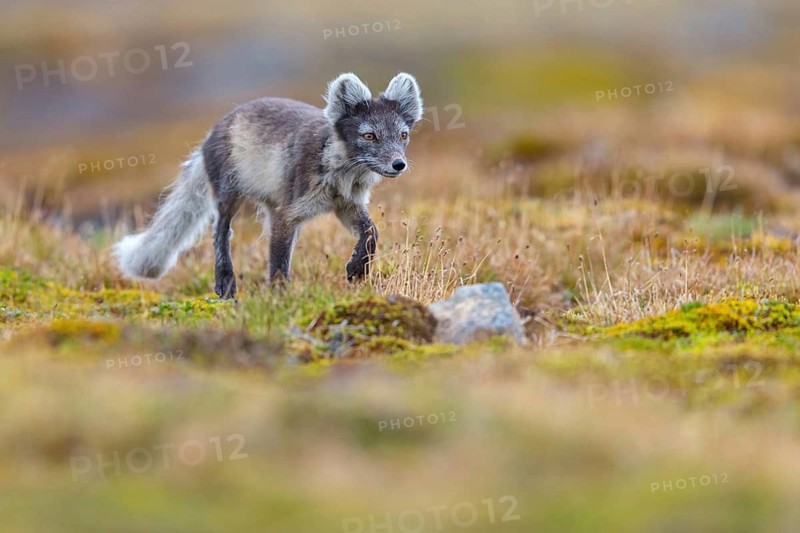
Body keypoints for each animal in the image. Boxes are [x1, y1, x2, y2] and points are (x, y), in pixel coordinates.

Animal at [113, 72, 423, 298]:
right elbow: (277, 262)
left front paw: (357, 269)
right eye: (369, 136)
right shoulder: (290, 212)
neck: (340, 175)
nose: (398, 164)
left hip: (273, 208)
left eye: (403, 135)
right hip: (230, 195)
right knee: (220, 233)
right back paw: (225, 283)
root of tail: (210, 134)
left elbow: (371, 234)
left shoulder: (345, 206)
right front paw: (280, 297)